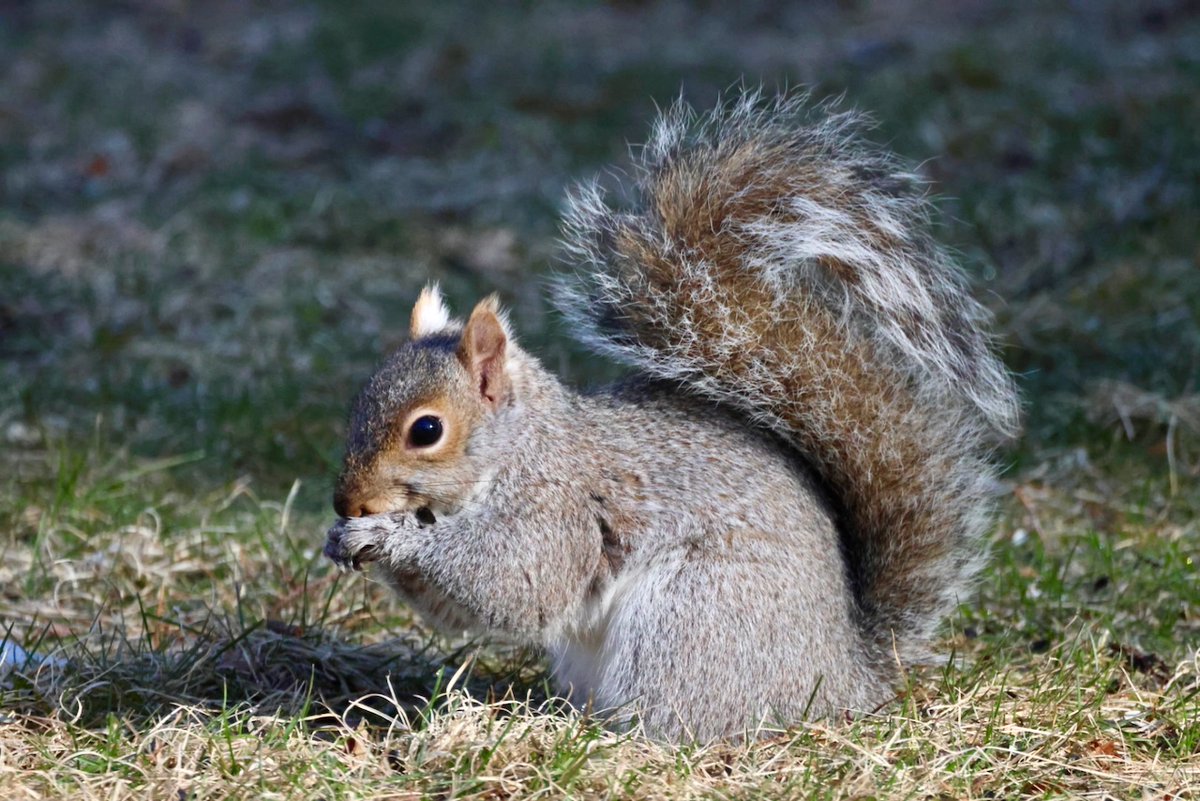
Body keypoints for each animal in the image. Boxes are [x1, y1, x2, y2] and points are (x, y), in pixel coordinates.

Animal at [324, 90, 1017, 743]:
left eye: (427, 430)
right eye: (360, 401)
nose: (346, 502)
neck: (519, 448)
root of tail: (848, 676)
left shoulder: (558, 509)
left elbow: (513, 585)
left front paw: (387, 537)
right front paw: (343, 537)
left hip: (689, 621)